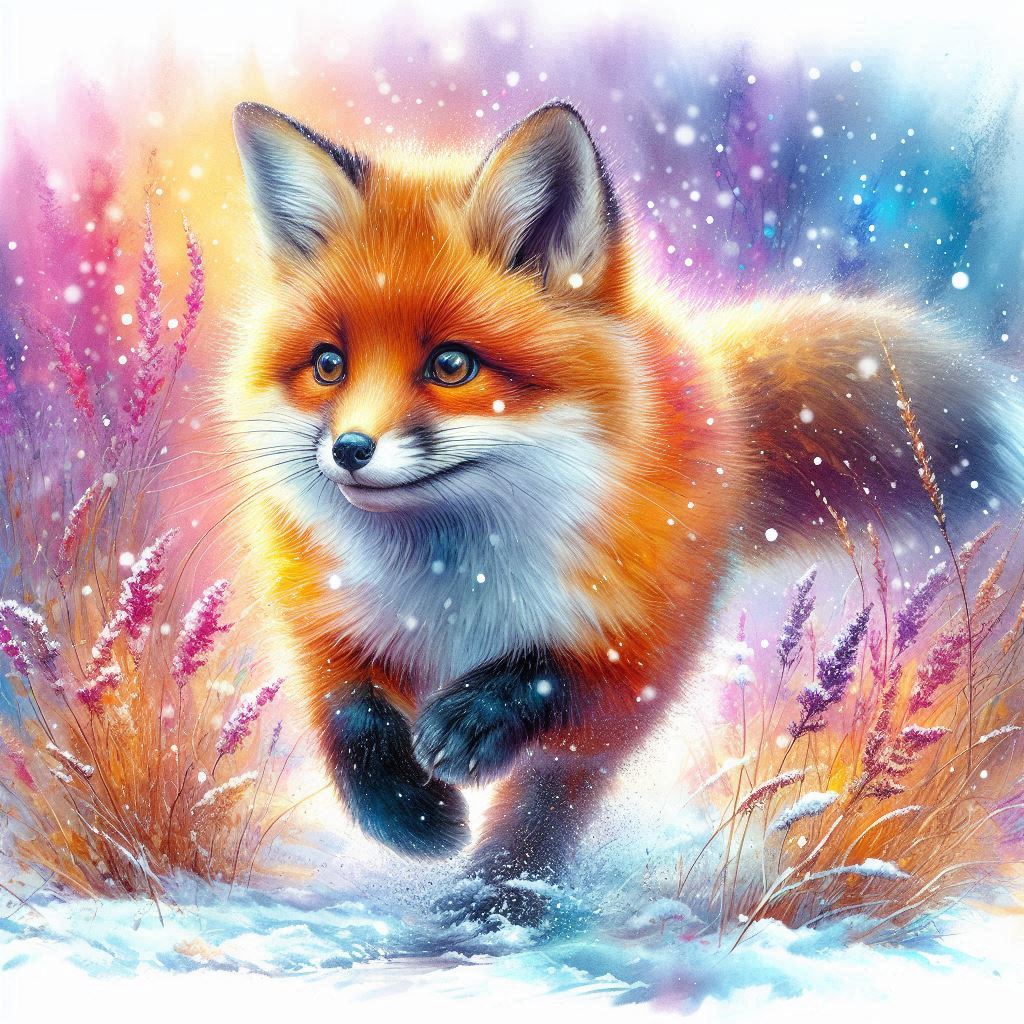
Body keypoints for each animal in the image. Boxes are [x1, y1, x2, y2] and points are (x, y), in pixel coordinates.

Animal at [226, 99, 1020, 924]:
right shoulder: (322, 612)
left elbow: (552, 686)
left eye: (452, 365)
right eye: (329, 365)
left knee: (552, 801)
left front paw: (472, 729)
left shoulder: (636, 640)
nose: (349, 449)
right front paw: (410, 818)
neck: (452, 585)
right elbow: (348, 715)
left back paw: (497, 896)